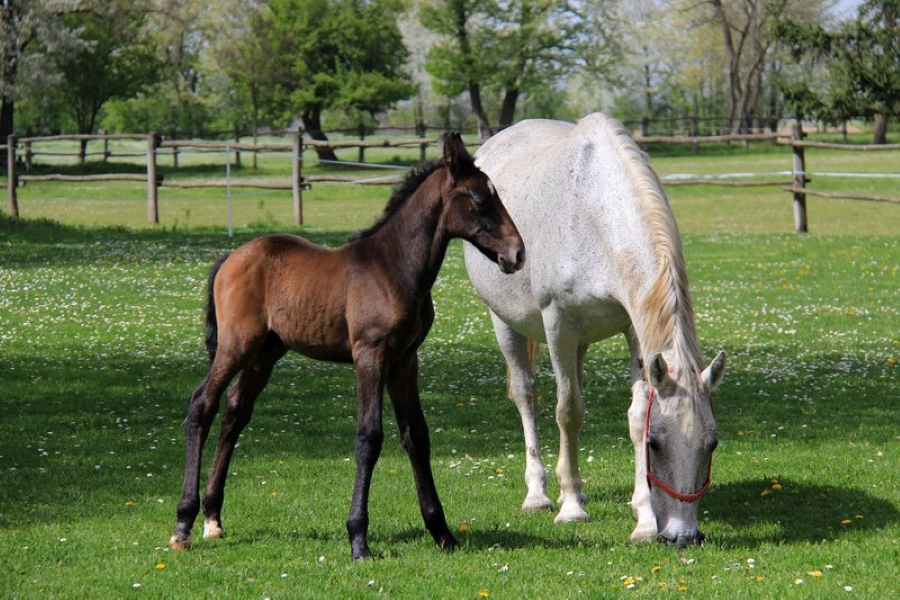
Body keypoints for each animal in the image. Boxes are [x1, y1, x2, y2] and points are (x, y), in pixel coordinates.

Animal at [464, 113, 724, 548]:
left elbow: (635, 414)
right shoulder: (558, 323)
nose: (682, 536)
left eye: (712, 443)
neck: (594, 211)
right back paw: (538, 494)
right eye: (657, 444)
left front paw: (643, 519)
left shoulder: (635, 328)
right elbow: (568, 411)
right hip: (505, 322)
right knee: (527, 395)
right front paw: (571, 507)